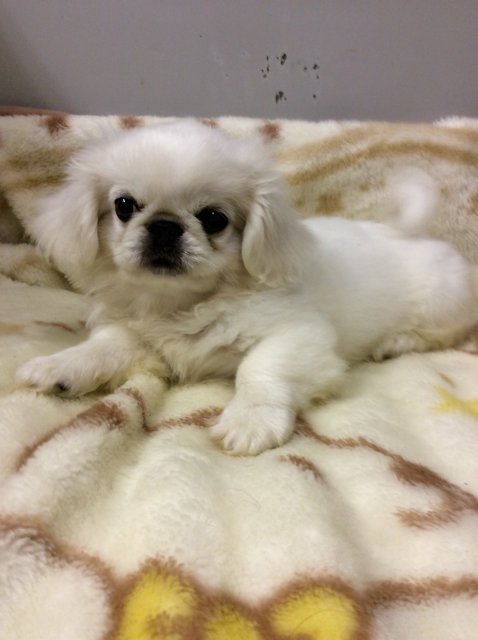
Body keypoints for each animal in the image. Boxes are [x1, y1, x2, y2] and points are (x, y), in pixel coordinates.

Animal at [17, 120, 477, 454]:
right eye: (124, 206)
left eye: (214, 218)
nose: (164, 226)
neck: (181, 305)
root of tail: (410, 234)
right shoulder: (138, 336)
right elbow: (104, 346)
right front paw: (60, 367)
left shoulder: (297, 335)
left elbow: (259, 369)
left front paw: (249, 422)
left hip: (441, 302)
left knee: (442, 334)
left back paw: (397, 342)